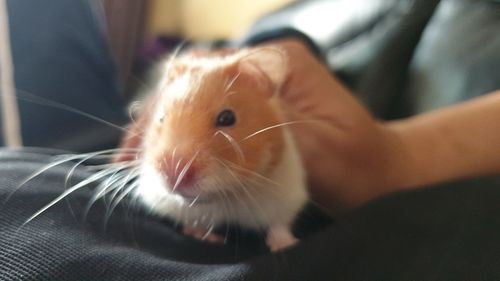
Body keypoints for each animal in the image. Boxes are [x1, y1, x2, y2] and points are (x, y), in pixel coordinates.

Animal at [120, 47, 308, 250]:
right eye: (161, 117)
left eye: (227, 118)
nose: (173, 175)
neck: (226, 197)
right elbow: (190, 221)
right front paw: (207, 237)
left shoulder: (286, 193)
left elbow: (280, 223)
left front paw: (285, 245)